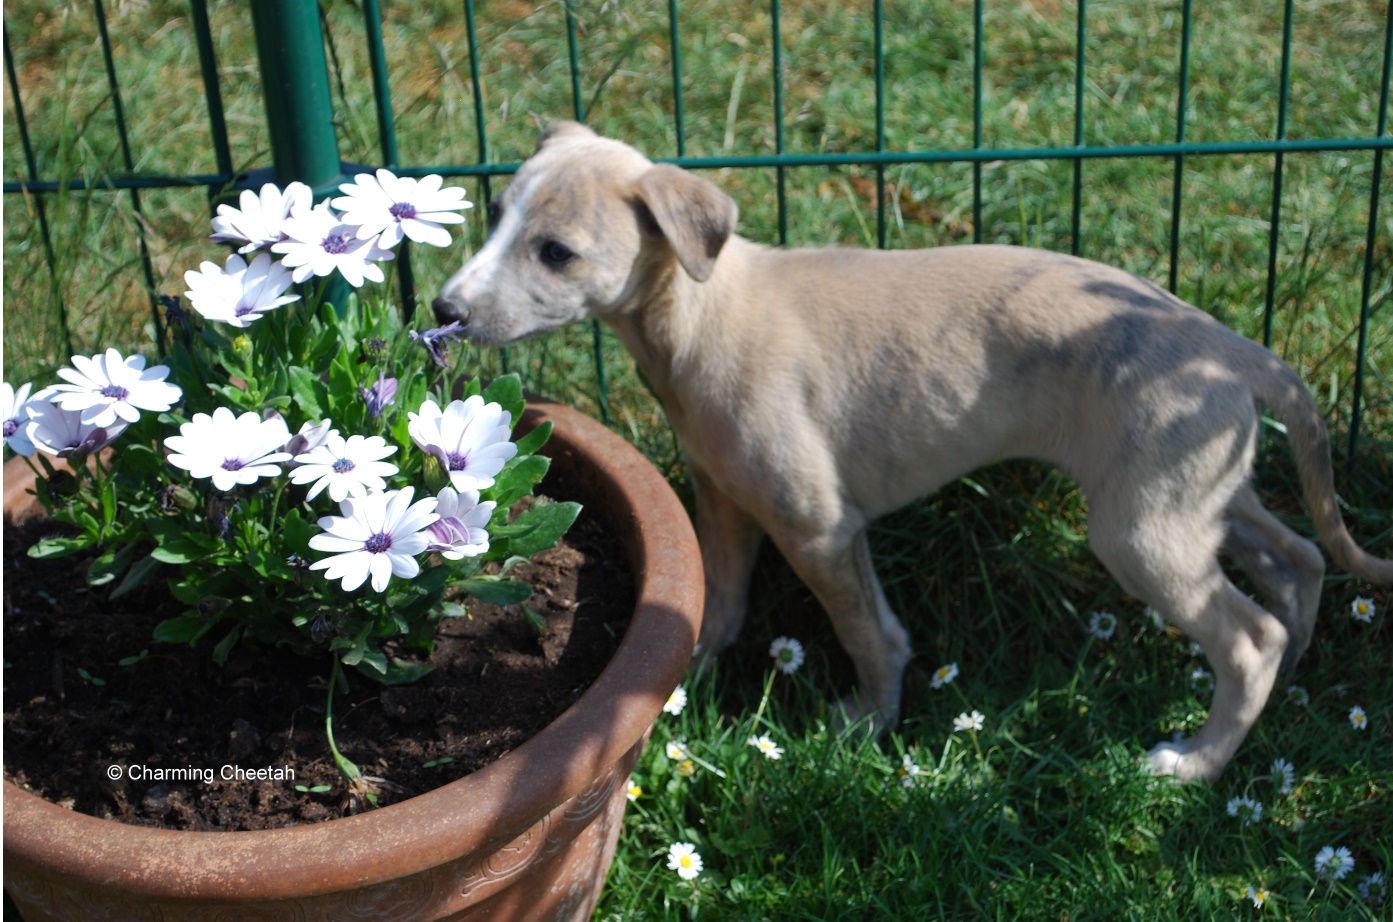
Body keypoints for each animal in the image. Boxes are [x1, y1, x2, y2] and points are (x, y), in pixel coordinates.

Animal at [434, 122, 1393, 785]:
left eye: (556, 252)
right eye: (495, 217)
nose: (444, 309)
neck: (702, 311)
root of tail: (1230, 346)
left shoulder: (817, 526)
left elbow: (868, 631)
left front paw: (866, 721)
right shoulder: (724, 503)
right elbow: (718, 609)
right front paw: (676, 693)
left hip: (1143, 530)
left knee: (1248, 637)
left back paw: (1196, 762)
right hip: (1198, 494)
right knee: (1298, 561)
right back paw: (1289, 690)